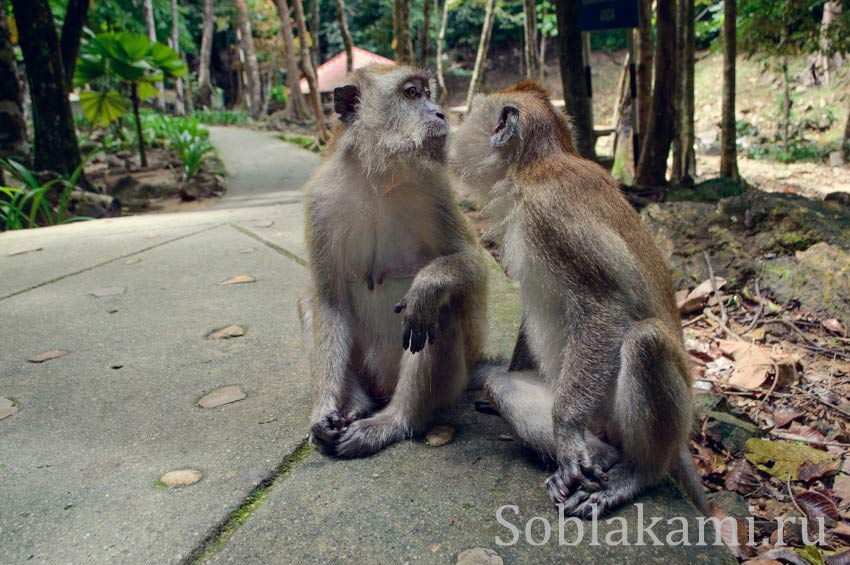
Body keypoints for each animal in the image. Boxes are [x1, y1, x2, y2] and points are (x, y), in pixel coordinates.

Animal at [298, 62, 486, 458]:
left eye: (426, 92)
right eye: (412, 93)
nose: (440, 113)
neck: (378, 176)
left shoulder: (436, 189)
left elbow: (473, 265)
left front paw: (429, 284)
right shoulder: (318, 201)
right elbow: (328, 300)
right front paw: (323, 409)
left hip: (449, 381)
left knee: (439, 309)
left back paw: (396, 420)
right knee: (310, 300)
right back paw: (354, 404)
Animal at [448, 81, 704, 516]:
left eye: (467, 114)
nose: (449, 125)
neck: (531, 168)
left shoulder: (548, 217)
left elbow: (605, 306)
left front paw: (567, 433)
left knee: (645, 341)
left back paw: (637, 472)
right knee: (504, 387)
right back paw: (600, 455)